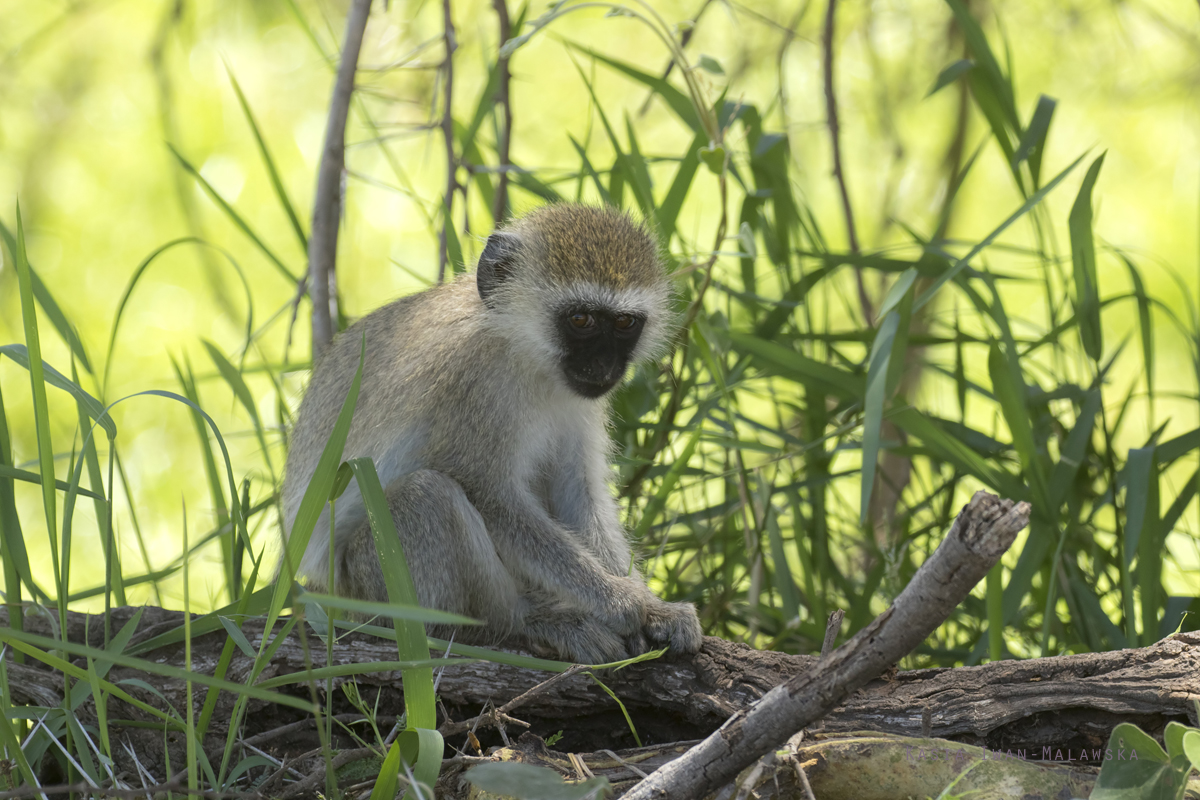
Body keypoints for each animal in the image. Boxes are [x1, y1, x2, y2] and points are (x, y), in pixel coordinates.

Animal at [280, 205, 700, 662]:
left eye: (624, 323)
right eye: (581, 319)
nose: (605, 366)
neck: (524, 353)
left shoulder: (582, 402)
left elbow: (577, 491)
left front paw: (656, 609)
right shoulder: (472, 382)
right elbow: (491, 497)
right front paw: (621, 601)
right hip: (368, 584)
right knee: (428, 496)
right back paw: (528, 620)